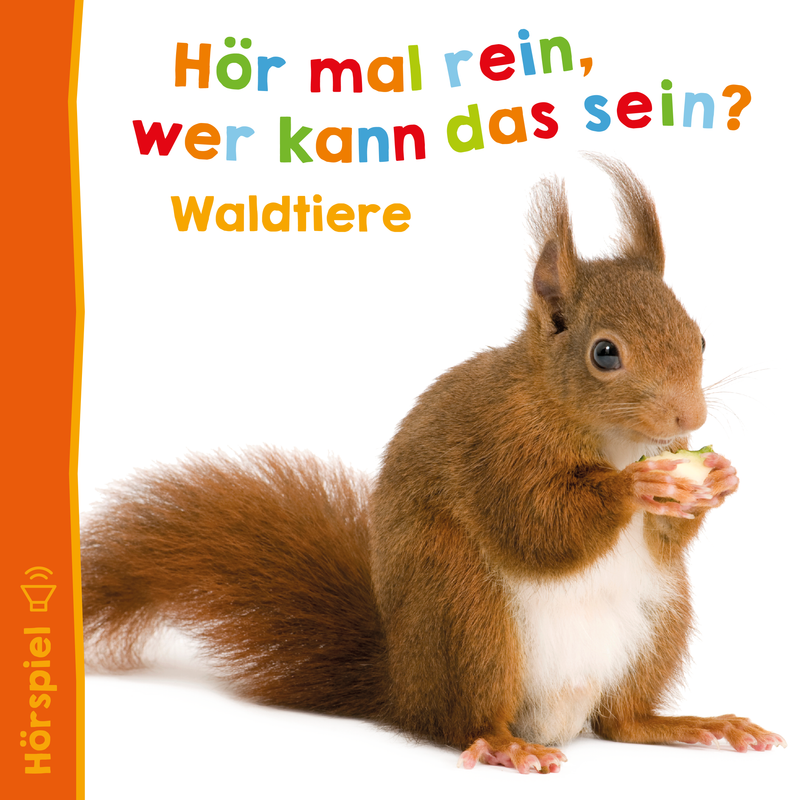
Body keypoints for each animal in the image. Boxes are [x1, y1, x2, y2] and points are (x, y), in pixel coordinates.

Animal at [81, 154, 785, 774]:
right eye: (605, 353)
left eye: (699, 336)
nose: (688, 419)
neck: (607, 434)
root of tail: (403, 686)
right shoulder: (497, 445)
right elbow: (537, 524)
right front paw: (631, 486)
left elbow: (664, 538)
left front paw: (718, 480)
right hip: (467, 617)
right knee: (467, 720)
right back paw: (507, 746)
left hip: (661, 620)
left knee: (623, 721)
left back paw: (696, 726)